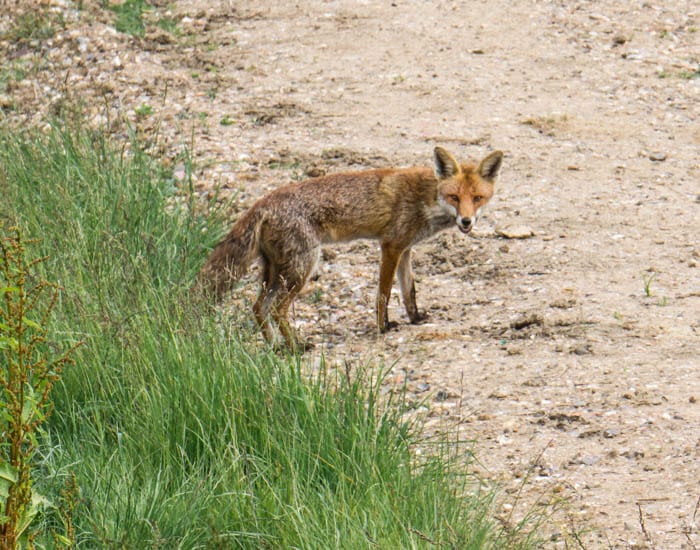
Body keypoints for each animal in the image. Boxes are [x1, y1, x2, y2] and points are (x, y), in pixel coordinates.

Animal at [194, 148, 504, 350]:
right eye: (454, 197)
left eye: (477, 198)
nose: (466, 221)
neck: (426, 198)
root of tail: (262, 202)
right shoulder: (390, 245)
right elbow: (383, 294)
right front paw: (383, 327)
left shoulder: (406, 249)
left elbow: (409, 292)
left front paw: (416, 319)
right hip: (301, 268)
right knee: (277, 309)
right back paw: (296, 347)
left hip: (274, 271)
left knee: (259, 307)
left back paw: (276, 348)